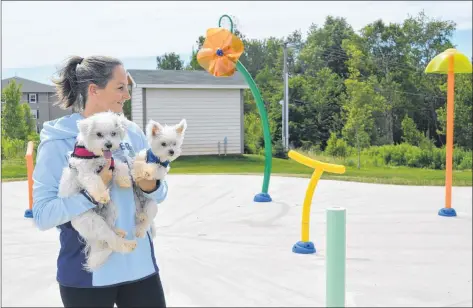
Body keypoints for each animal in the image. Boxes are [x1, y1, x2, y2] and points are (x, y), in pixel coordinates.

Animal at [58, 111, 137, 272]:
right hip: (94, 223)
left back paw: (118, 231)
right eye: (99, 134)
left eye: (113, 133)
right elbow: (95, 181)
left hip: (112, 210)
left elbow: (120, 166)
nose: (109, 144)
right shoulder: (86, 172)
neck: (95, 154)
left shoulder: (110, 162)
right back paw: (127, 245)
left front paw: (124, 181)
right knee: (111, 240)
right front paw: (101, 195)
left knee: (110, 229)